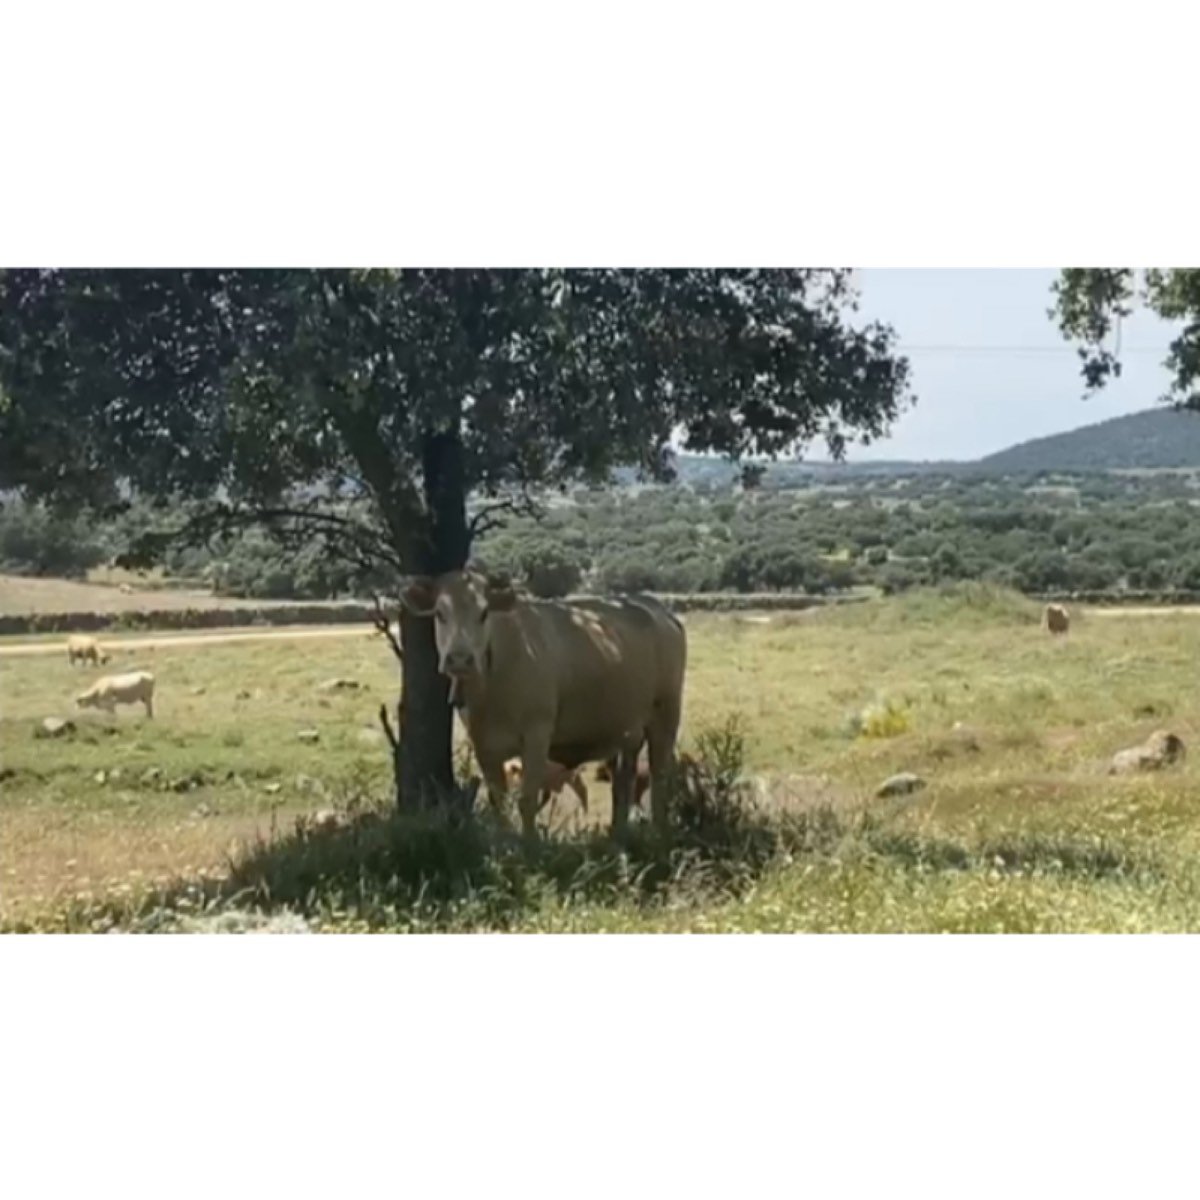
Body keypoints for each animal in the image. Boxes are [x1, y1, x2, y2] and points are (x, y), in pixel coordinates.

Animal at [400, 570, 686, 838]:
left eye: (484, 613)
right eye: (439, 613)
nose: (460, 659)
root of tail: (658, 609)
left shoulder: (537, 734)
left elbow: (527, 800)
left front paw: (530, 848)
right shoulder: (483, 744)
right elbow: (498, 801)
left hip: (666, 713)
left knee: (660, 774)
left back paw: (659, 832)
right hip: (626, 727)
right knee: (623, 781)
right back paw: (619, 833)